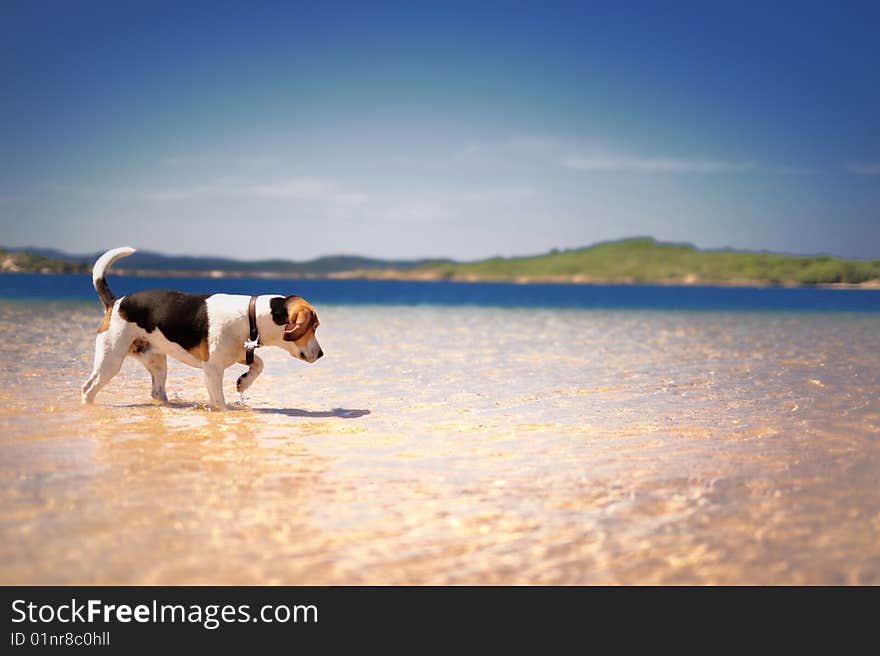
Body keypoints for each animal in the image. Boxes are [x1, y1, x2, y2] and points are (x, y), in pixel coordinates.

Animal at [81, 247, 324, 410]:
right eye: (313, 327)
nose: (321, 354)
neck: (251, 316)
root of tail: (115, 302)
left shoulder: (239, 353)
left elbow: (259, 364)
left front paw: (243, 382)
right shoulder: (213, 368)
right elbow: (220, 402)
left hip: (156, 361)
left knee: (157, 392)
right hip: (110, 360)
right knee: (87, 389)